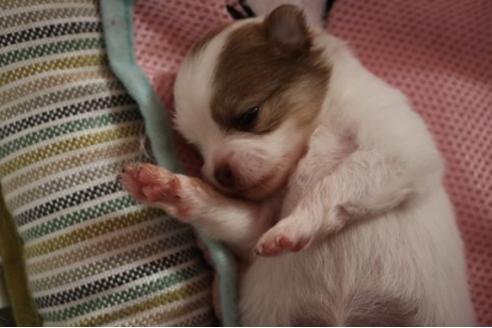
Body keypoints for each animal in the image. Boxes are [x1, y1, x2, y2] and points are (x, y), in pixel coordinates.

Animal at [121, 5, 474, 326]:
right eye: (196, 147)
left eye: (249, 115)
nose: (219, 173)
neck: (318, 129)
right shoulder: (258, 224)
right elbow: (236, 220)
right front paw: (167, 187)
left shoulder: (396, 148)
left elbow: (332, 184)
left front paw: (295, 224)